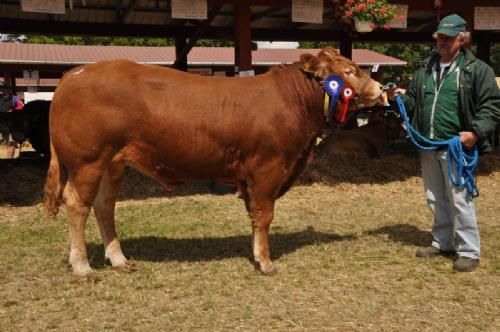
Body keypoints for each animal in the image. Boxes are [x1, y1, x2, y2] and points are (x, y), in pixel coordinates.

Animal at [46, 46, 382, 274]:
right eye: (349, 72)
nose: (381, 89)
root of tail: (74, 74)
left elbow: (254, 216)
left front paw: (257, 254)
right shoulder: (267, 168)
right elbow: (264, 215)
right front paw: (266, 262)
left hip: (112, 163)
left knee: (104, 206)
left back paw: (119, 260)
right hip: (87, 162)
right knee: (77, 203)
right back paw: (82, 266)